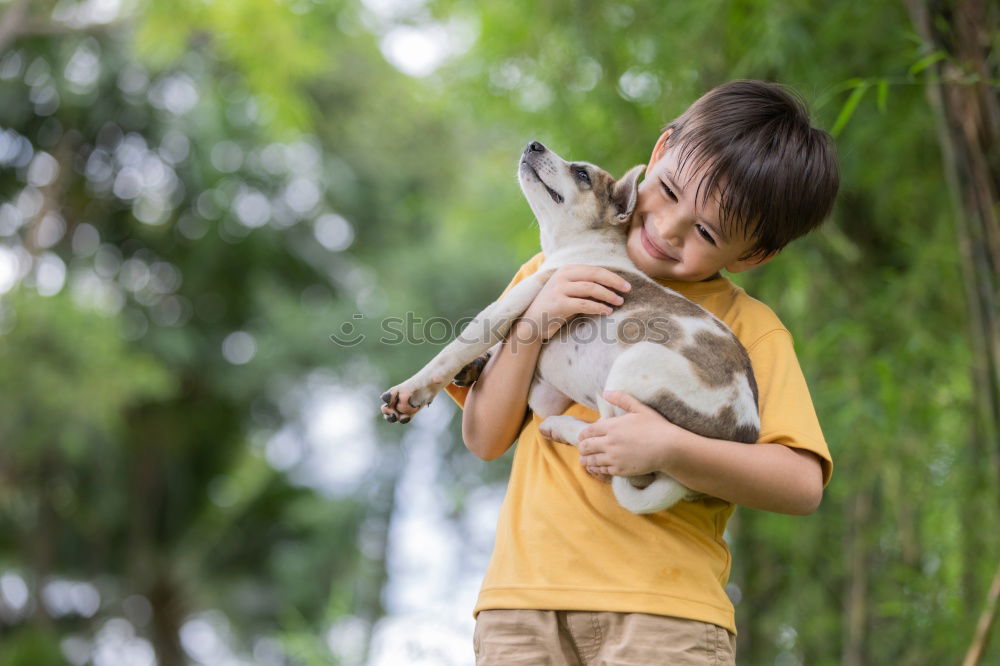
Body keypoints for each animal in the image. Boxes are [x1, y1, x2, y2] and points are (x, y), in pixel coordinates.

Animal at [382, 141, 756, 512]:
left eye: (582, 175)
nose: (534, 143)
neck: (584, 245)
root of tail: (744, 429)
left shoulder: (511, 304)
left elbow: (453, 351)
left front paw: (410, 392)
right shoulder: (542, 376)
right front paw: (476, 365)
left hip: (634, 369)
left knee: (616, 453)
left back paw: (562, 428)